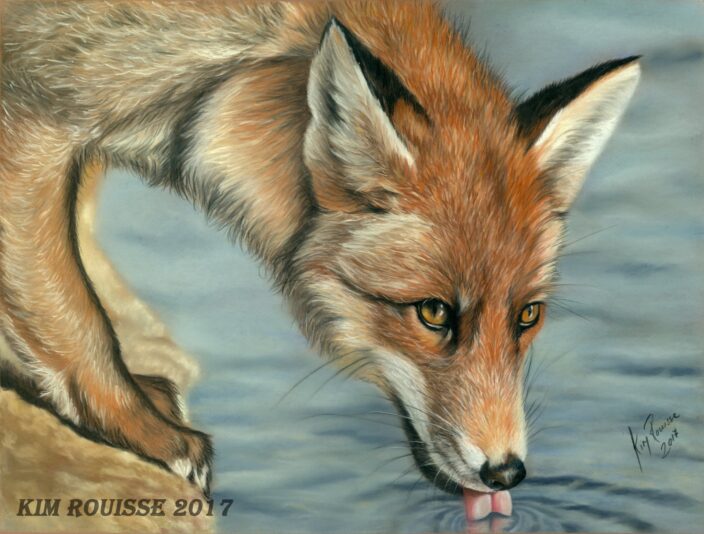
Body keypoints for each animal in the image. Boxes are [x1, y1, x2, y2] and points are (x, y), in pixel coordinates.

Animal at [0, 0, 639, 514]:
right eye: (433, 313)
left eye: (527, 317)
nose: (507, 473)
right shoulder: (36, 109)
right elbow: (74, 312)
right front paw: (141, 428)